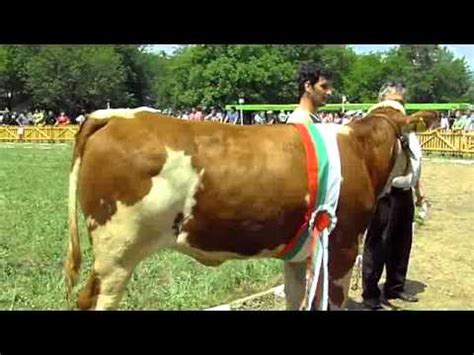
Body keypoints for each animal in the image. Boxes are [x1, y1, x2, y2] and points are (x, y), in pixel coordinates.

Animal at [65, 105, 438, 308]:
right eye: (413, 139)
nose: (418, 194)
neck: (359, 151)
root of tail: (117, 115)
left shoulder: (302, 251)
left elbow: (297, 297)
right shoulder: (343, 245)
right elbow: (332, 299)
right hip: (117, 253)